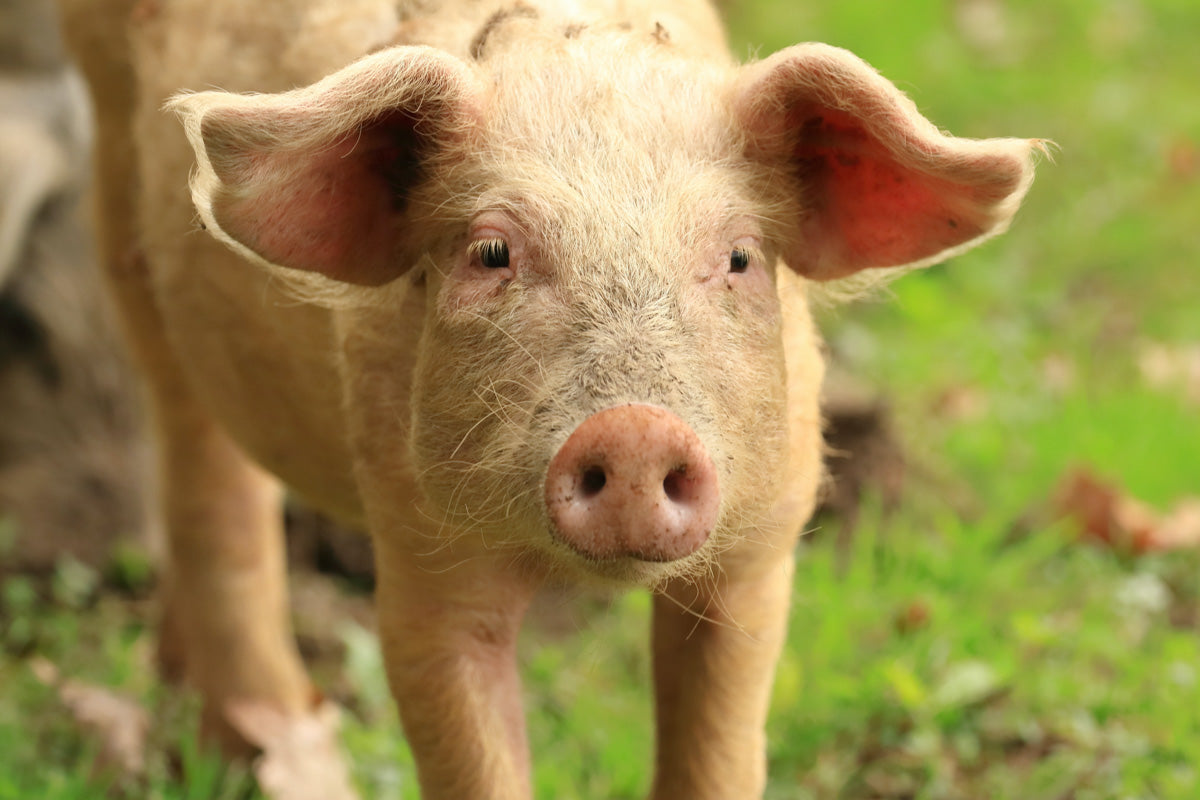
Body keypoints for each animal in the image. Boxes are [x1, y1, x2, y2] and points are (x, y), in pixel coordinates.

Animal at [57, 0, 1040, 797]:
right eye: (491, 253)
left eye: (738, 258)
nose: (637, 430)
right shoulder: (421, 552)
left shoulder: (761, 547)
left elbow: (718, 752)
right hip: (116, 197)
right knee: (208, 481)